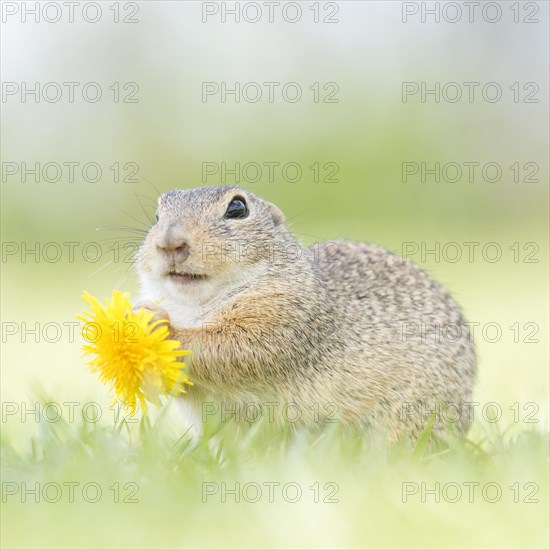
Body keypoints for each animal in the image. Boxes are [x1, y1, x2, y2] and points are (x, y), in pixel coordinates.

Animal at [136, 188, 476, 442]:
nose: (169, 242)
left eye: (237, 208)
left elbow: (235, 349)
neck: (195, 305)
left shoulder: (290, 320)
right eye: (157, 215)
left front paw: (160, 326)